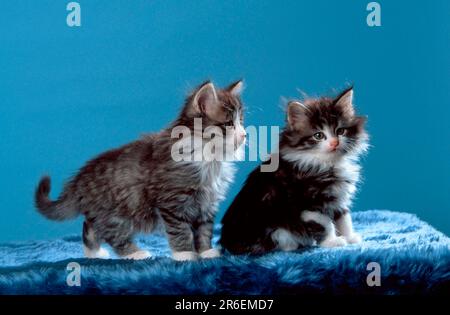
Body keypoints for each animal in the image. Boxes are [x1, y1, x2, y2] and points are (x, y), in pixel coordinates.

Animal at [35, 79, 246, 262]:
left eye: (241, 121)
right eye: (229, 124)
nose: (244, 134)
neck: (210, 159)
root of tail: (79, 180)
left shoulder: (207, 204)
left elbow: (204, 231)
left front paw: (206, 252)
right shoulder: (172, 203)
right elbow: (180, 231)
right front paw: (185, 255)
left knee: (90, 227)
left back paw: (94, 254)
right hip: (116, 216)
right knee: (113, 235)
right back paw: (136, 254)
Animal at [220, 87, 368, 256]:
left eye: (340, 131)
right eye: (318, 135)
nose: (334, 143)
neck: (327, 164)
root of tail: (227, 244)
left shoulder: (339, 197)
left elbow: (344, 219)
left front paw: (350, 237)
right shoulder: (310, 205)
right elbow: (326, 224)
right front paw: (332, 242)